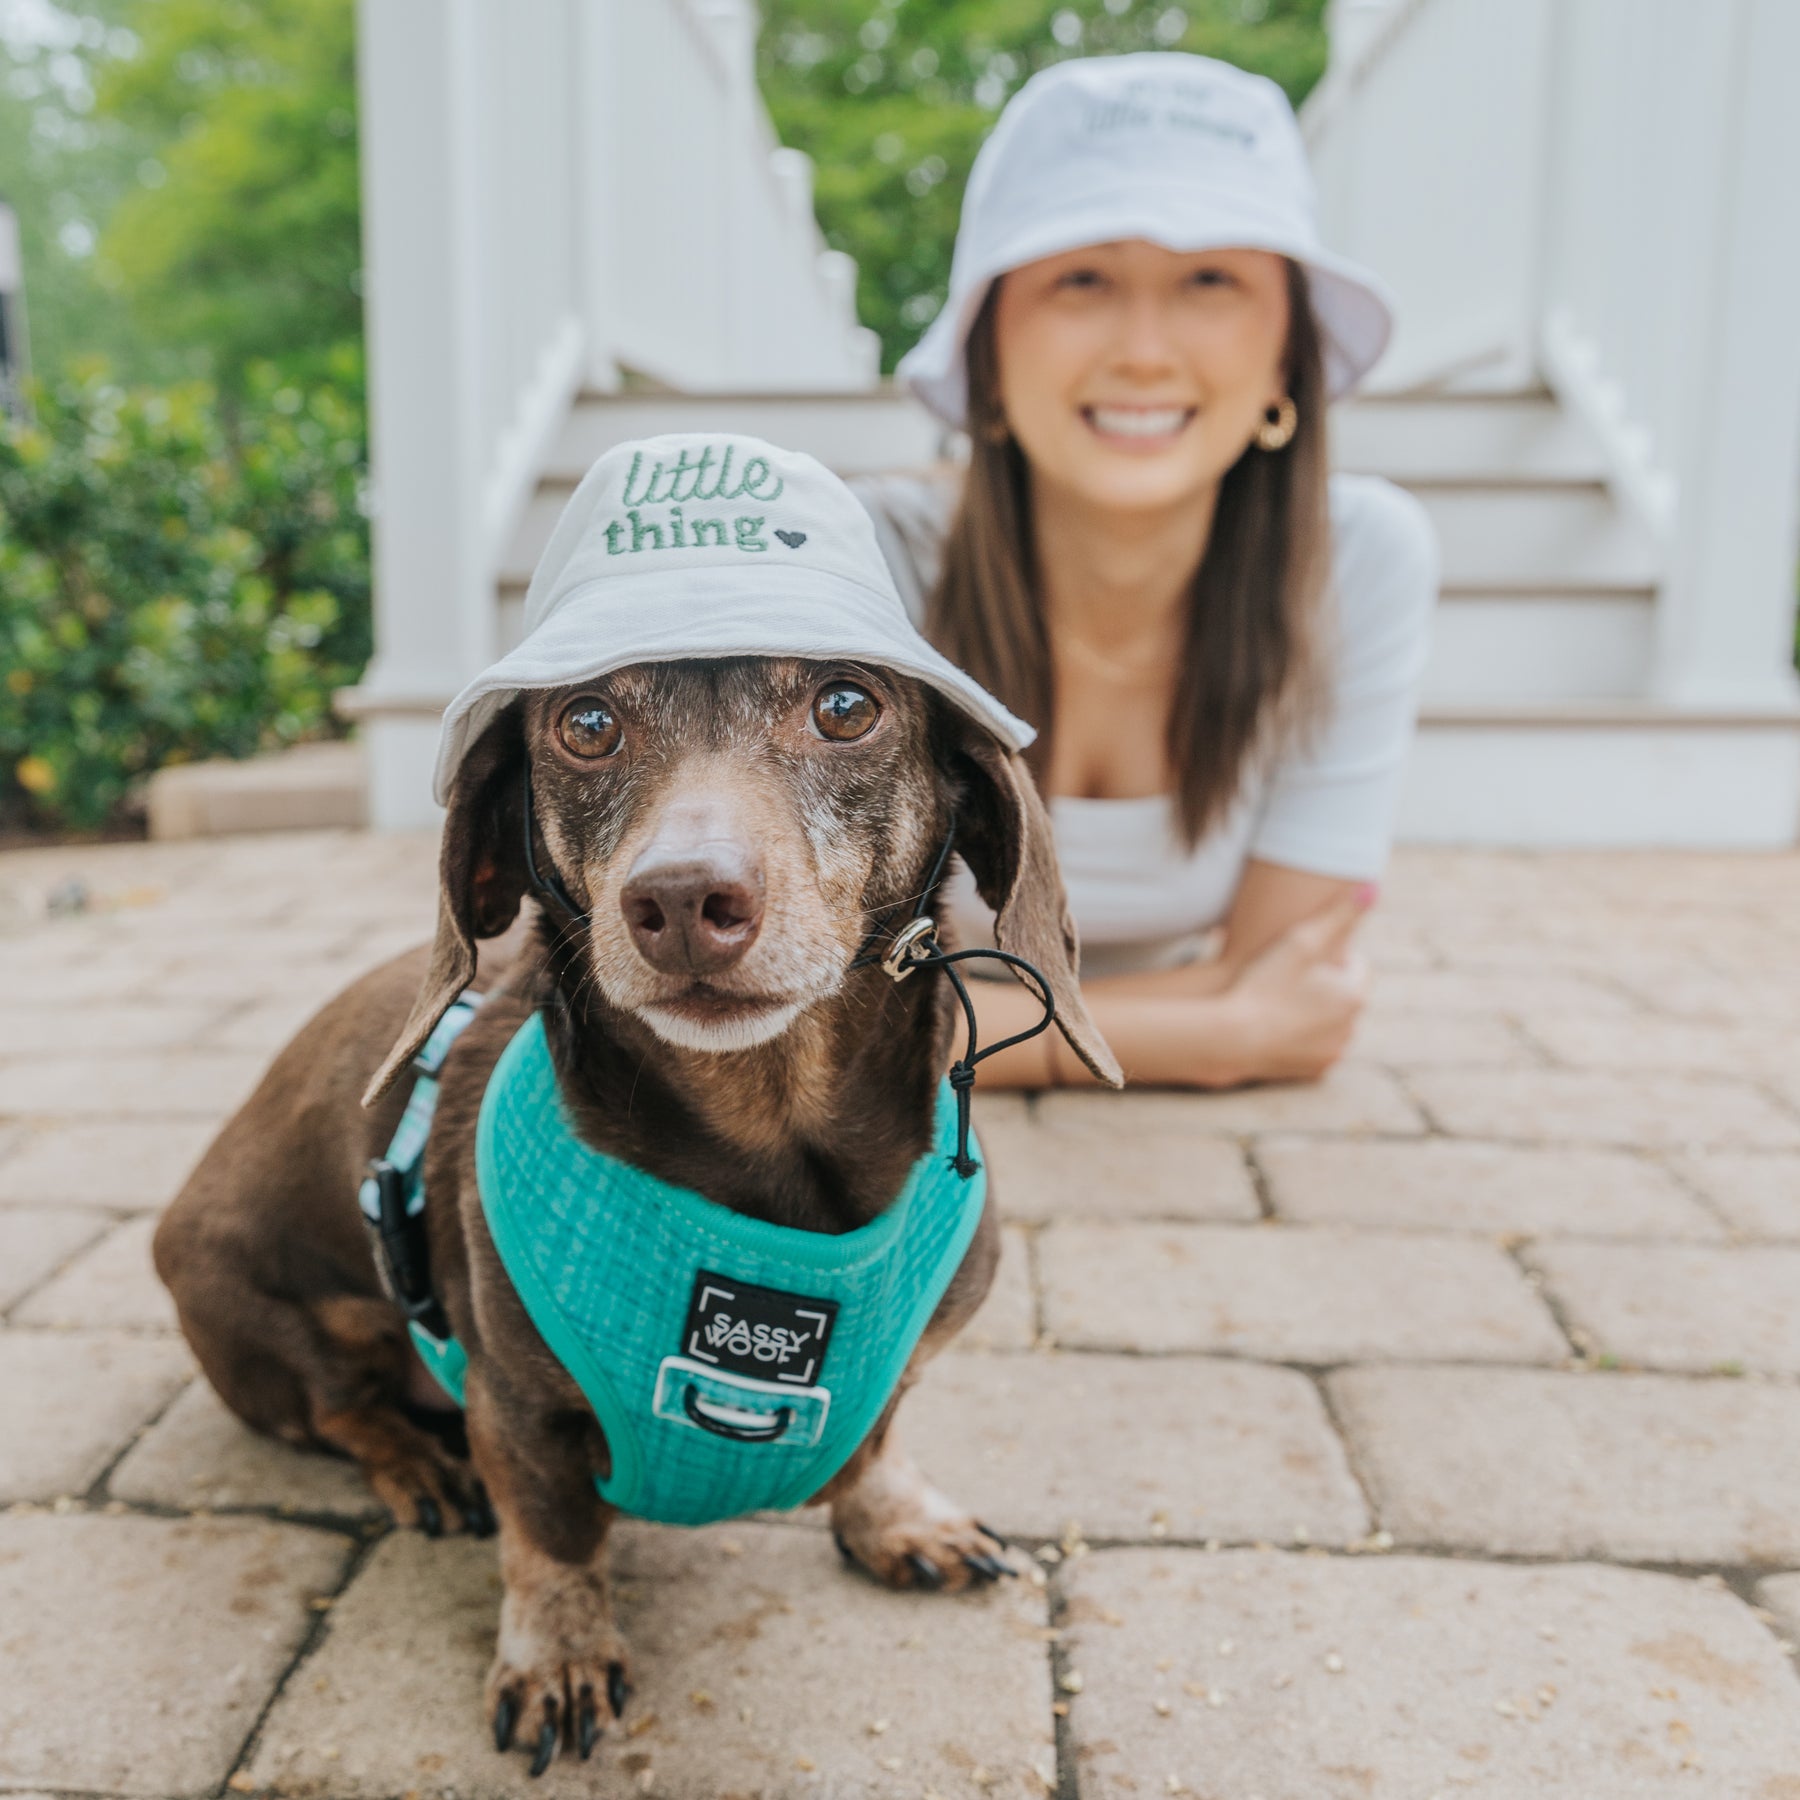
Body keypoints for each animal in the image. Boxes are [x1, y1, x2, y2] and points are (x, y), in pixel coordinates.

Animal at [154, 658, 1116, 1771]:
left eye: (847, 707)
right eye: (586, 723)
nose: (684, 899)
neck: (777, 1156)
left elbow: (876, 1439)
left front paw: (897, 1519)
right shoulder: (514, 1408)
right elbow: (554, 1534)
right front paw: (559, 1656)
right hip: (295, 1312)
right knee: (338, 1408)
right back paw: (420, 1467)